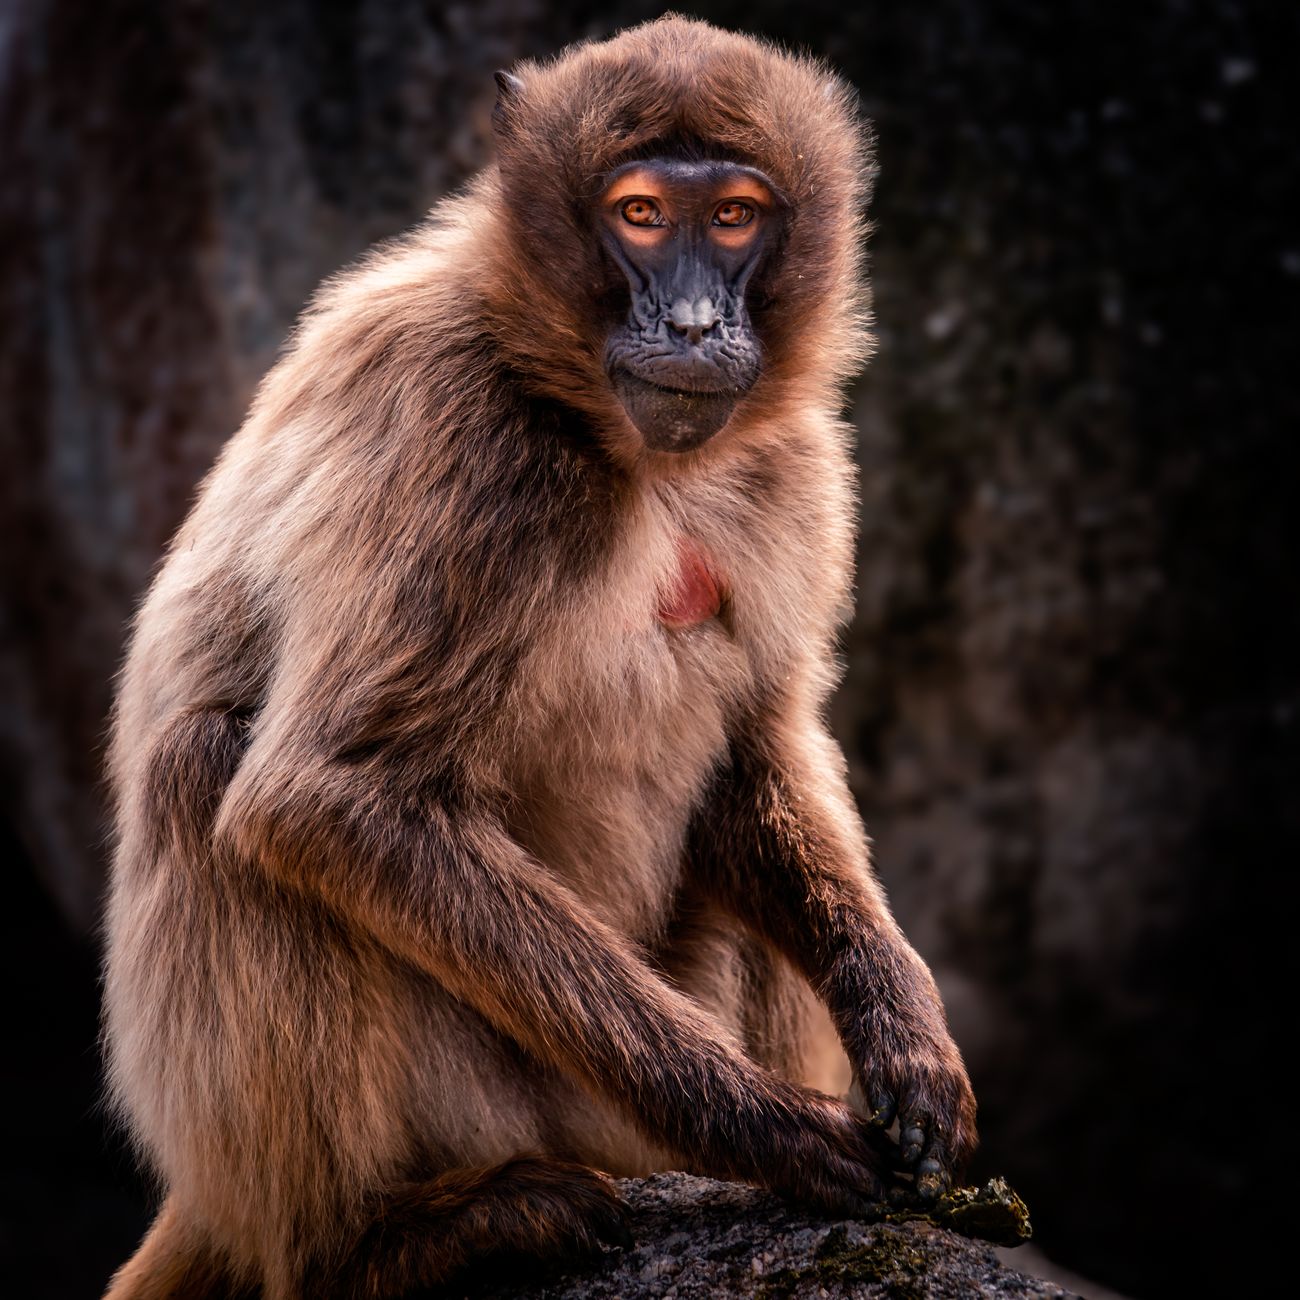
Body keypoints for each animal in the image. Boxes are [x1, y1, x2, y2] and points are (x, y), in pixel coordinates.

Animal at [101, 15, 976, 1300]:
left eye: (733, 217)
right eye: (641, 214)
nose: (694, 324)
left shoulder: (795, 467)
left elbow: (756, 747)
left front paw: (902, 1026)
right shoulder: (473, 445)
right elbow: (331, 797)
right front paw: (768, 1126)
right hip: (508, 1099)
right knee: (207, 762)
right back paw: (370, 1244)